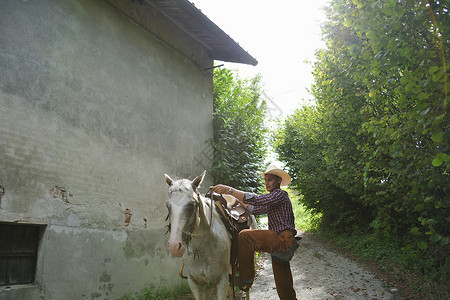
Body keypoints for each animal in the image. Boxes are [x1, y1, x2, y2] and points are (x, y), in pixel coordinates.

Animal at [164, 171, 232, 300]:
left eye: (192, 205)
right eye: (168, 206)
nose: (174, 246)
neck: (202, 248)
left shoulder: (223, 281)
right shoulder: (194, 283)